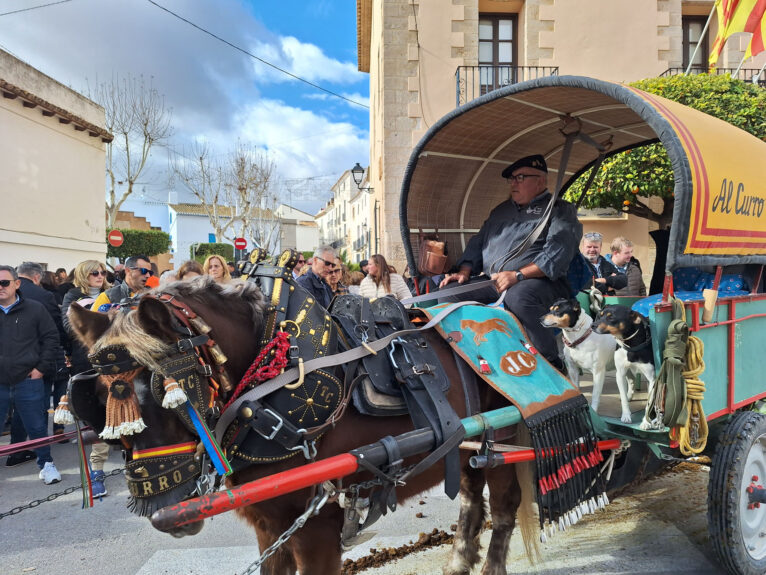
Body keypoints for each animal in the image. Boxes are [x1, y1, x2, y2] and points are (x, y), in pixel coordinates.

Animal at [66, 276, 536, 572]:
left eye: (173, 395)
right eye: (99, 405)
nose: (165, 509)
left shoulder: (318, 530)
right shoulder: (271, 526)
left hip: (505, 439)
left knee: (505, 509)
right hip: (471, 444)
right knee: (471, 501)